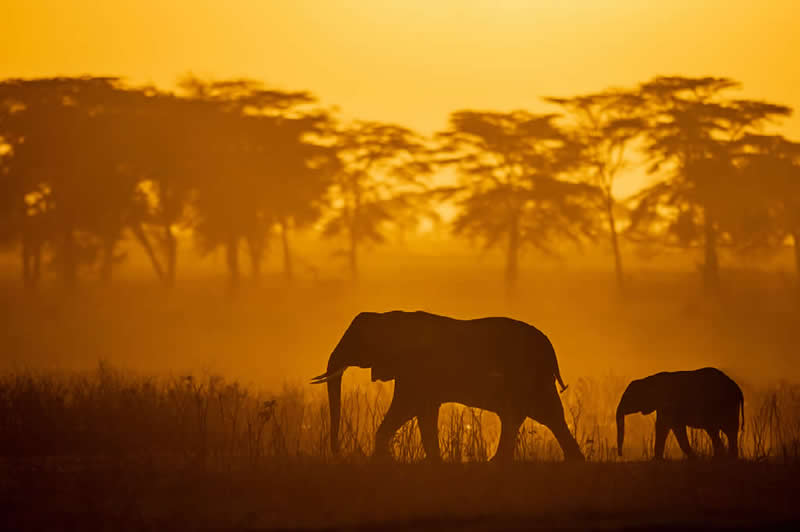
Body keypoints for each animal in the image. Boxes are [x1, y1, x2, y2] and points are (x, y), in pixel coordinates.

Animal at [311, 310, 584, 462]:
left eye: (355, 341)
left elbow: (407, 408)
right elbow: (423, 413)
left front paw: (383, 460)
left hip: (529, 378)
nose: (339, 452)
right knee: (535, 417)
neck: (388, 316)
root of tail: (550, 348)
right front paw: (430, 462)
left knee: (539, 415)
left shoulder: (415, 370)